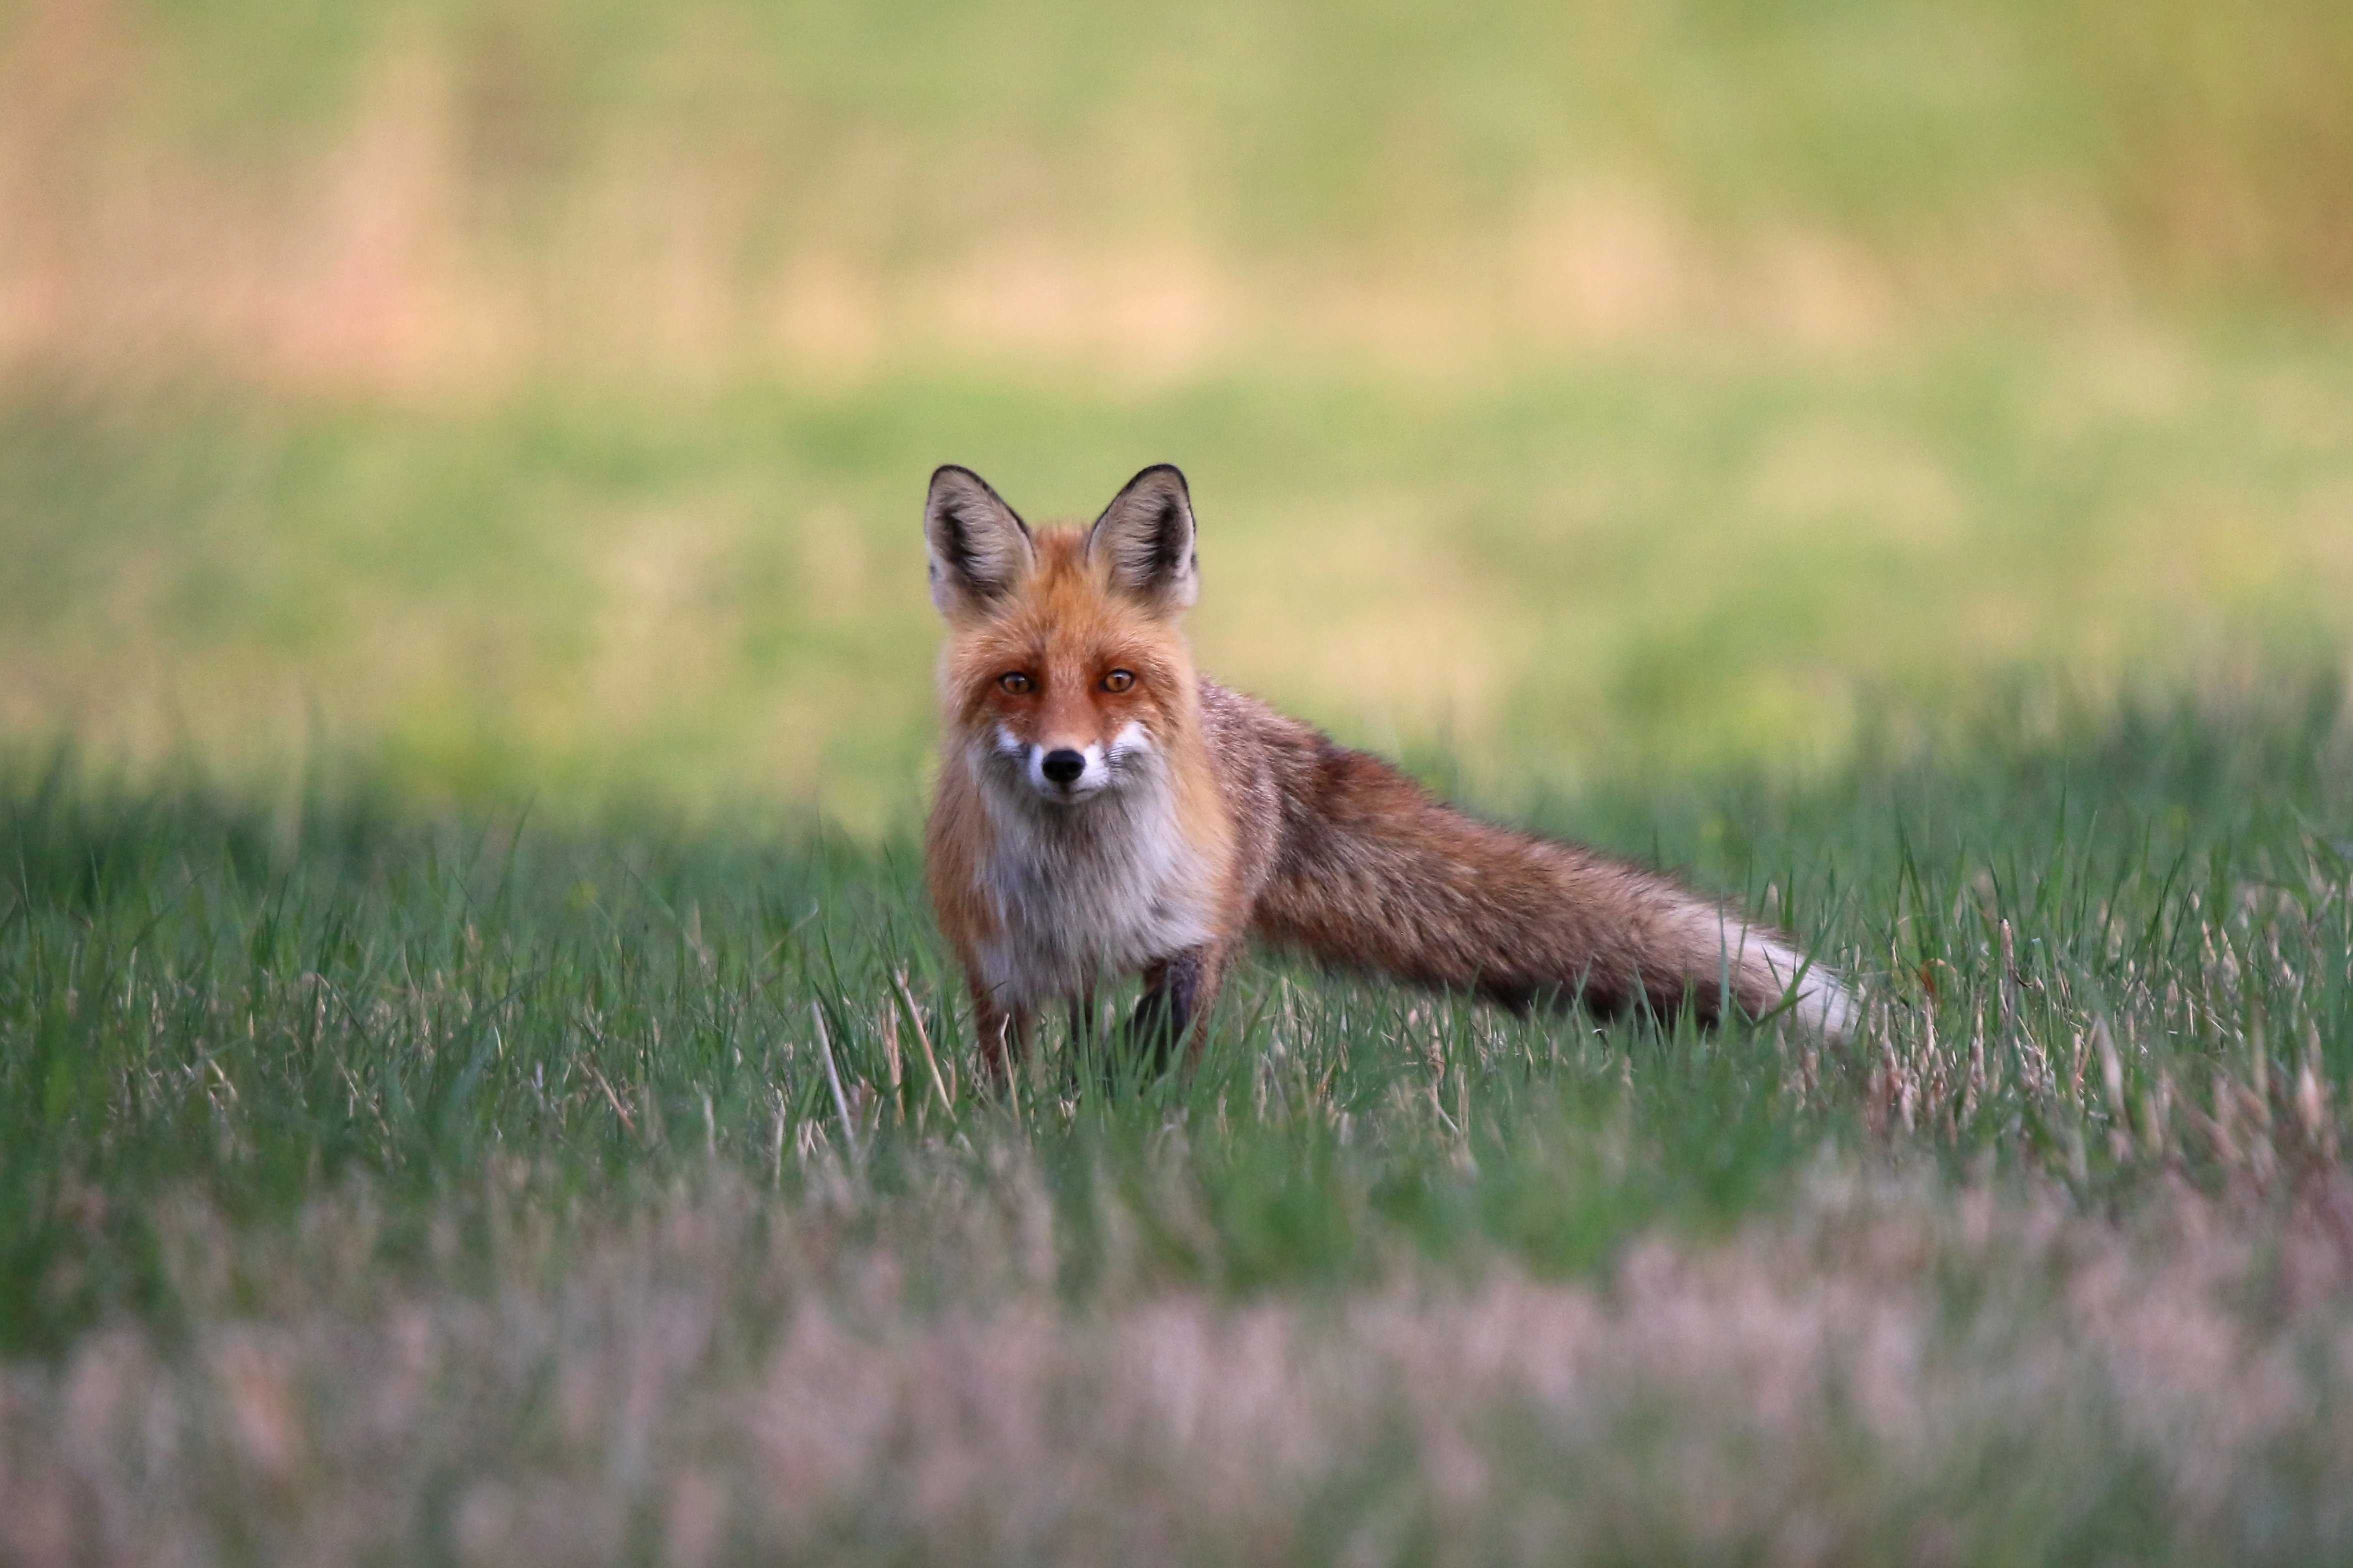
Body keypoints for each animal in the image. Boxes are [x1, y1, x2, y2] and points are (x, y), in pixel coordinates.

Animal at [918, 460, 1854, 1072]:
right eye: (1017, 682)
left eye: (1116, 679)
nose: (1064, 763)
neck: (1085, 887)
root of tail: (1241, 713)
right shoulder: (1000, 979)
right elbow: (1016, 1091)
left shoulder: (1188, 945)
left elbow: (1152, 1053)